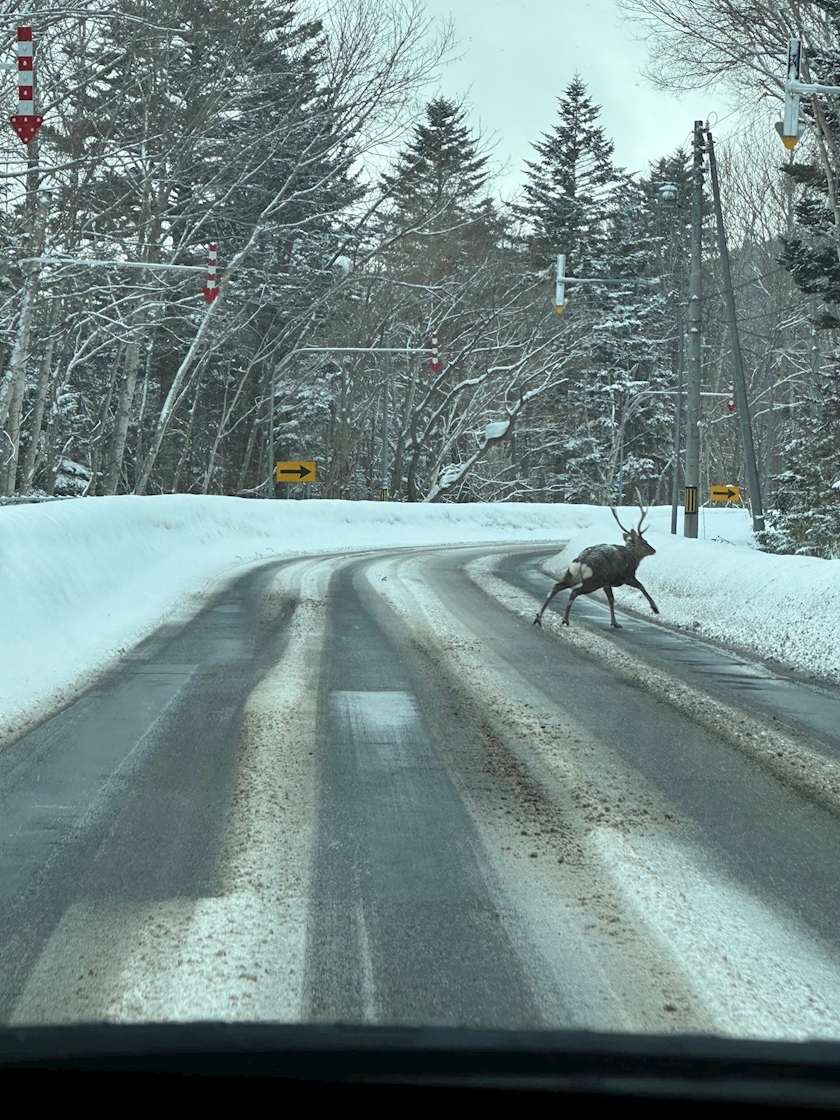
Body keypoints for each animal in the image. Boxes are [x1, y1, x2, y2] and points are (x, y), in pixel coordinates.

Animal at [535, 490, 663, 631]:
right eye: (645, 542)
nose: (653, 550)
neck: (633, 557)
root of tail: (580, 562)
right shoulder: (627, 576)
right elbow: (641, 586)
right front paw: (655, 609)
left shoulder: (607, 583)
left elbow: (611, 599)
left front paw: (615, 622)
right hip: (593, 581)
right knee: (574, 592)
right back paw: (565, 620)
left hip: (572, 575)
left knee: (556, 587)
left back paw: (538, 618)